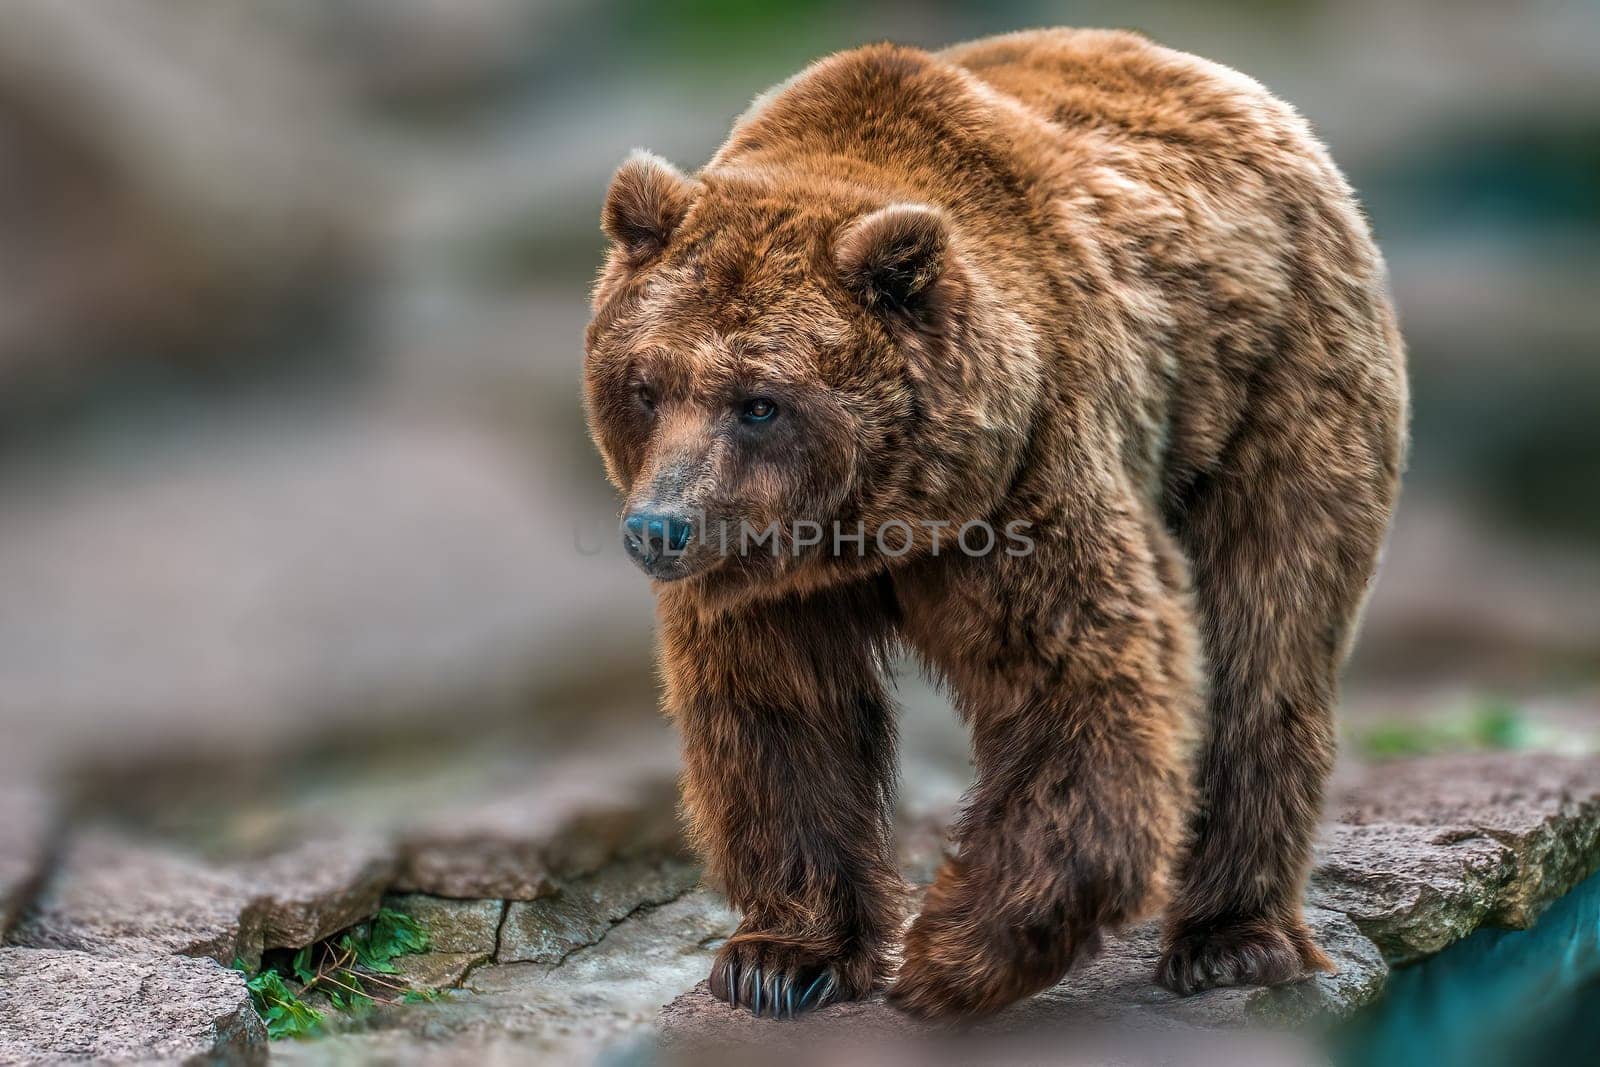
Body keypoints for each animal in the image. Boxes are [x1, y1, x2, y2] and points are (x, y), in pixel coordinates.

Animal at [585, 29, 1401, 1023]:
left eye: (760, 402)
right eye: (645, 385)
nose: (658, 528)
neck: (879, 523)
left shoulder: (1031, 467)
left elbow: (1079, 679)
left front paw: (950, 957)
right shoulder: (762, 575)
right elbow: (779, 715)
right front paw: (780, 959)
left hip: (1275, 392)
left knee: (1266, 636)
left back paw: (1232, 940)